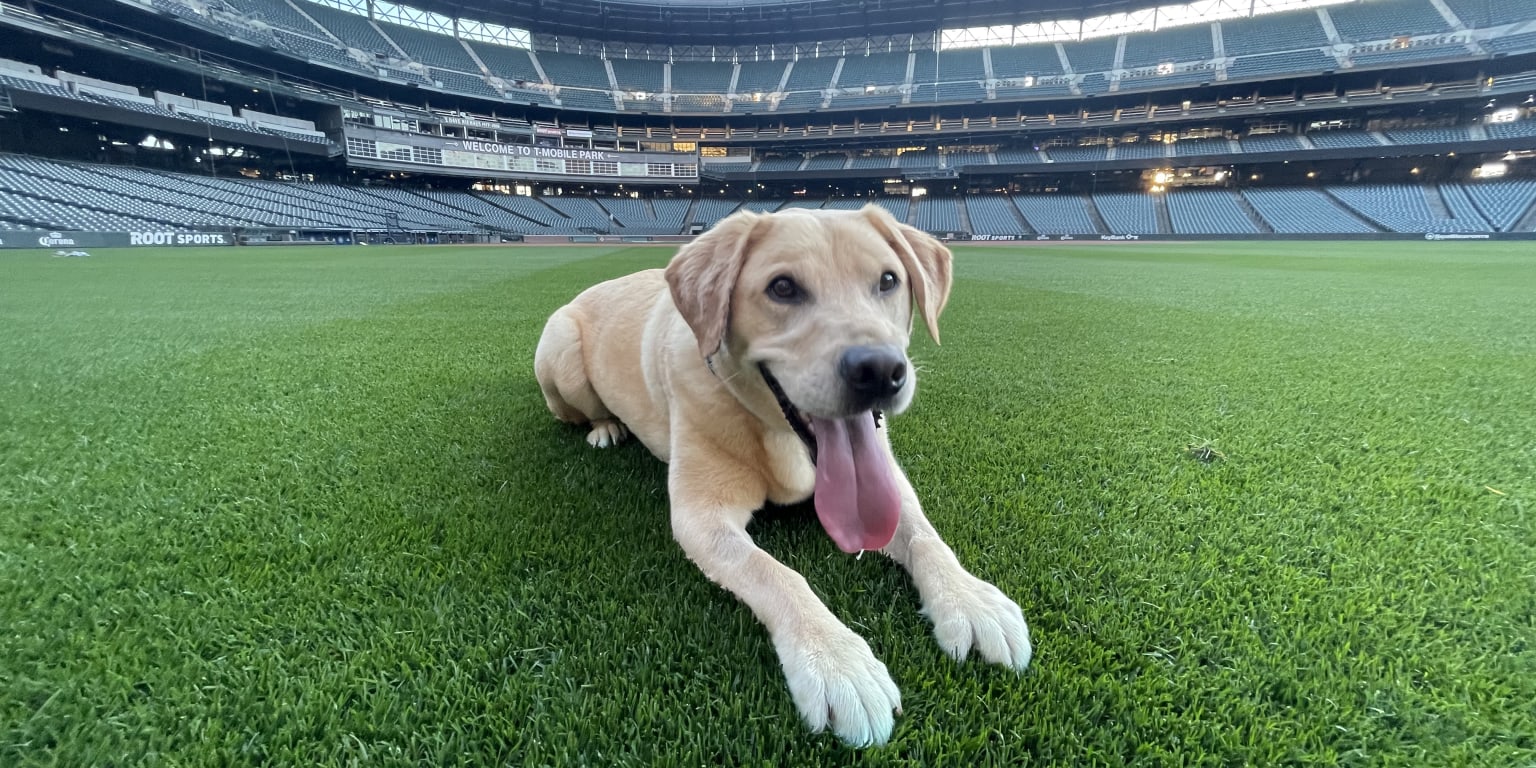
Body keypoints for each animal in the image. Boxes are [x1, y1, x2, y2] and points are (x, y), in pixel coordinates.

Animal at [531, 204, 1032, 743]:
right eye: (784, 288)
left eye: (888, 280)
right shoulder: (700, 515)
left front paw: (970, 599)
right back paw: (605, 427)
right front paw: (836, 663)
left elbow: (923, 534)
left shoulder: (889, 478)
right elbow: (775, 573)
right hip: (560, 352)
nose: (880, 371)